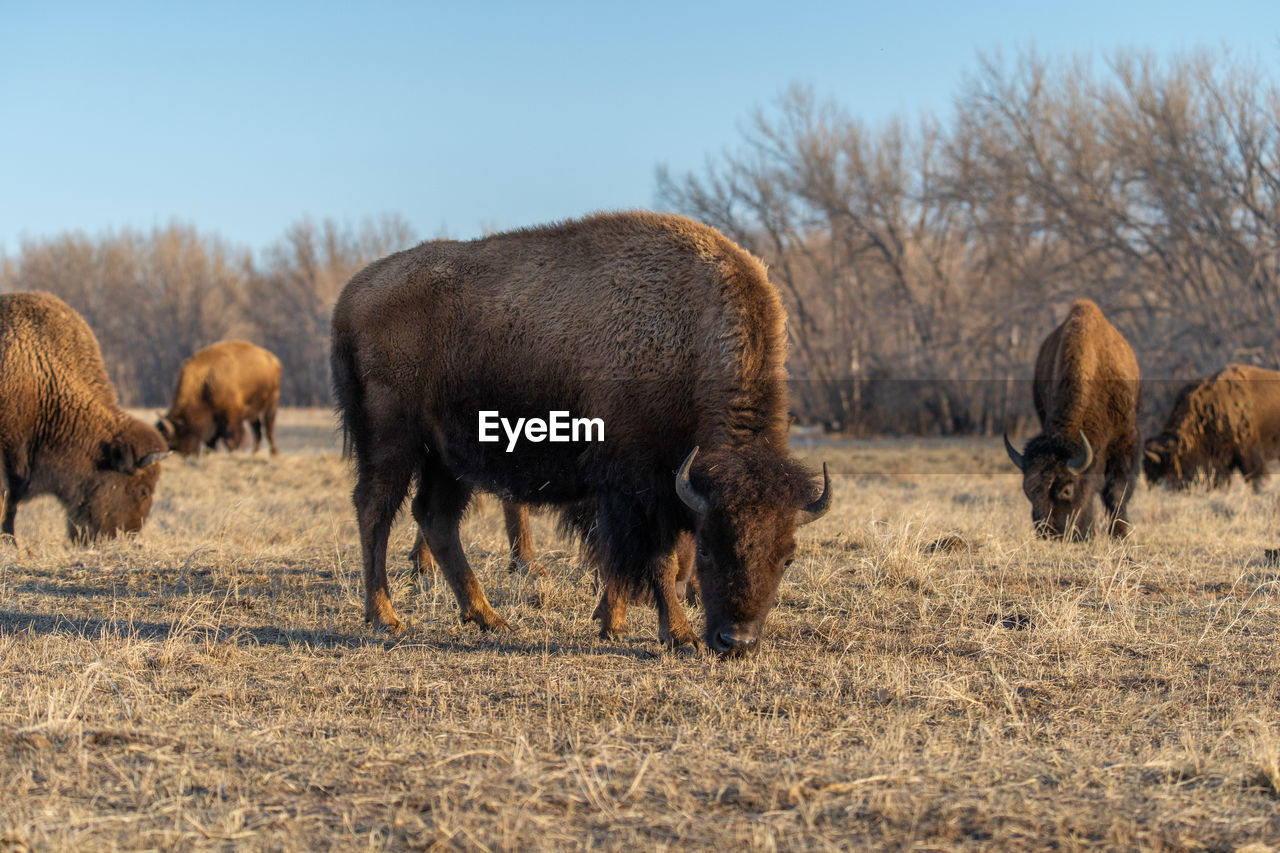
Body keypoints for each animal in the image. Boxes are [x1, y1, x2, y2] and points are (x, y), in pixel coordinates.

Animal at [330, 211, 829, 650]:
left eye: (788, 557)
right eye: (708, 548)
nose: (737, 641)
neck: (689, 334)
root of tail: (351, 295)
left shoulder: (636, 492)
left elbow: (623, 561)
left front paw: (614, 624)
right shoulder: (640, 488)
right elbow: (660, 560)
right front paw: (679, 636)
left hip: (446, 456)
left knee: (436, 518)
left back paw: (489, 618)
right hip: (392, 440)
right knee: (375, 510)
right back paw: (386, 617)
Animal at [998, 298, 1141, 537]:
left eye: (1067, 489)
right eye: (1028, 490)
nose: (1049, 532)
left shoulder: (1125, 439)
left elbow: (1117, 490)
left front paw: (1120, 534)